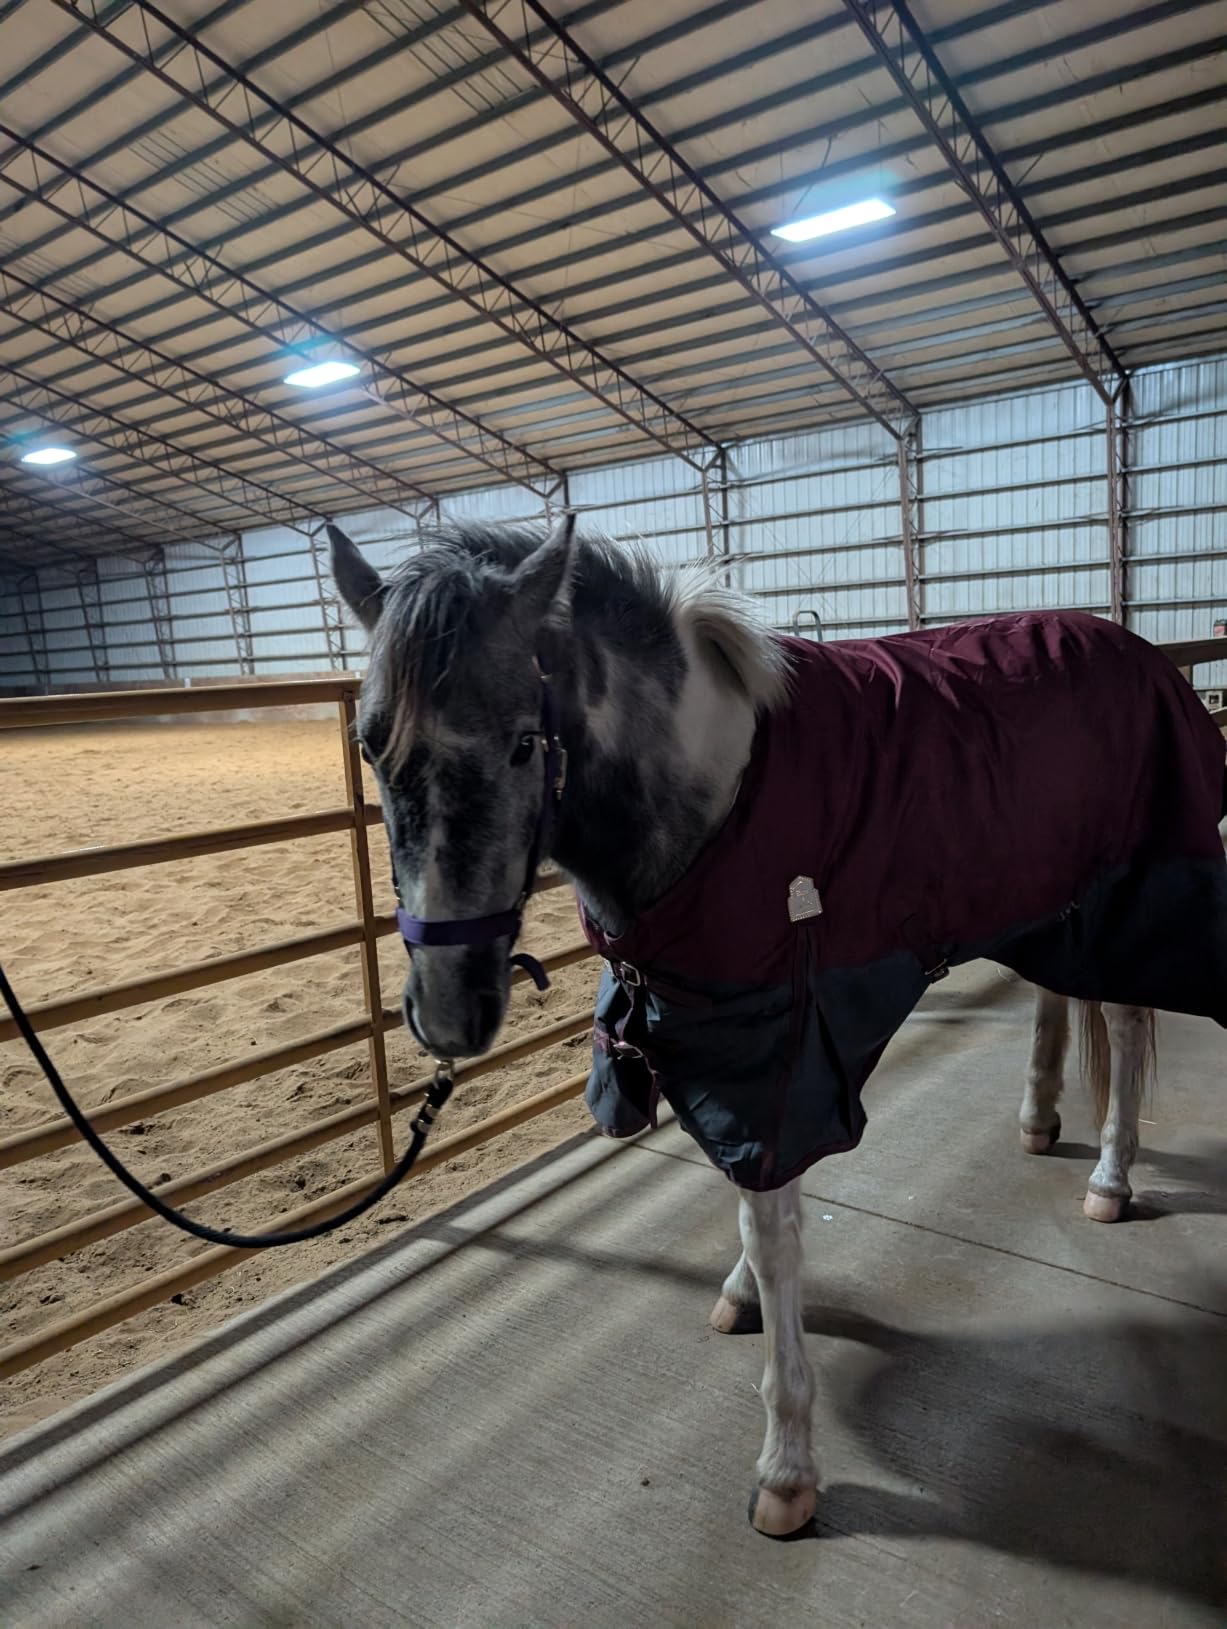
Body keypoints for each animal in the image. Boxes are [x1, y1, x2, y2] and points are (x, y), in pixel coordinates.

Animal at [328, 514, 1227, 1539]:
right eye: (370, 747)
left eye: (524, 743)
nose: (447, 1009)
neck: (719, 789)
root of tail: (1139, 651)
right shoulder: (715, 1038)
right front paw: (739, 1299)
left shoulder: (778, 1050)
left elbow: (773, 1230)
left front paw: (787, 1467)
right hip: (1045, 902)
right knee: (1054, 998)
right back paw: (1038, 1122)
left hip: (1128, 898)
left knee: (1121, 1015)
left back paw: (1111, 1179)